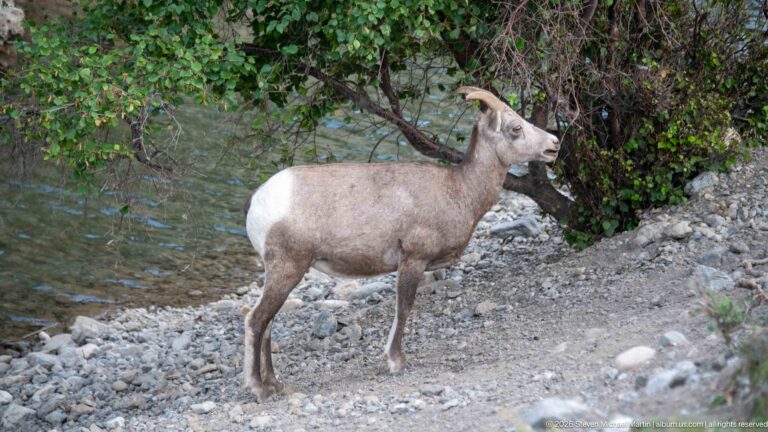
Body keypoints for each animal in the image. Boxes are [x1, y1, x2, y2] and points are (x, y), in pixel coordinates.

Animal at [242, 87, 560, 401]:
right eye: (515, 128)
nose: (554, 145)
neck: (459, 190)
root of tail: (258, 201)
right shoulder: (412, 260)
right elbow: (404, 308)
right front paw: (396, 362)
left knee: (268, 323)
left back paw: (276, 385)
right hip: (287, 268)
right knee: (257, 320)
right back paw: (260, 389)